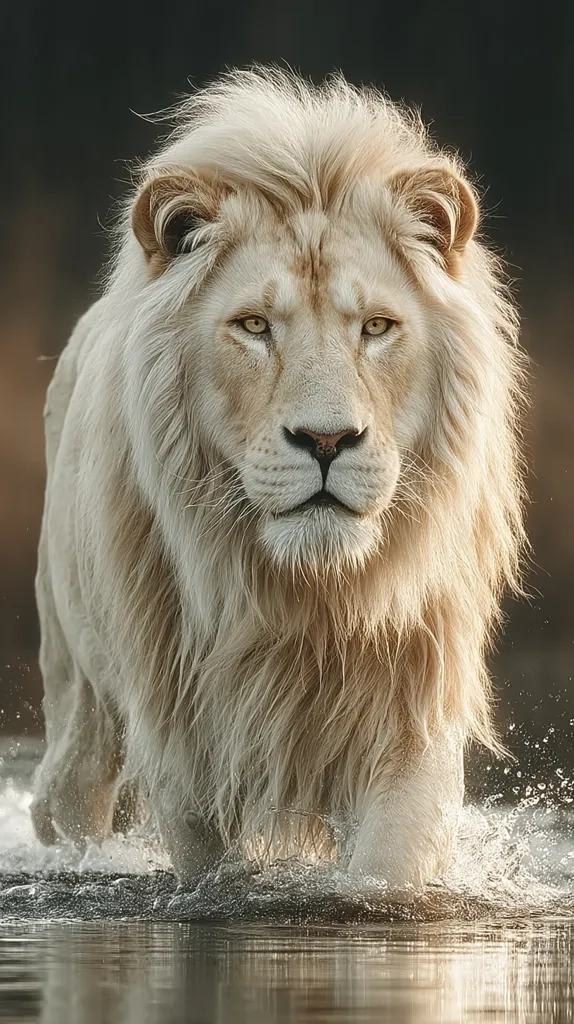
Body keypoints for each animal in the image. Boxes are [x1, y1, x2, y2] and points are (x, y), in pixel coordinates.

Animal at [31, 68, 526, 889]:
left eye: (377, 327)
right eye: (255, 326)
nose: (327, 439)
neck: (309, 599)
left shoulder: (411, 712)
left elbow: (389, 868)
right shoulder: (192, 742)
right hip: (81, 700)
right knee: (69, 791)